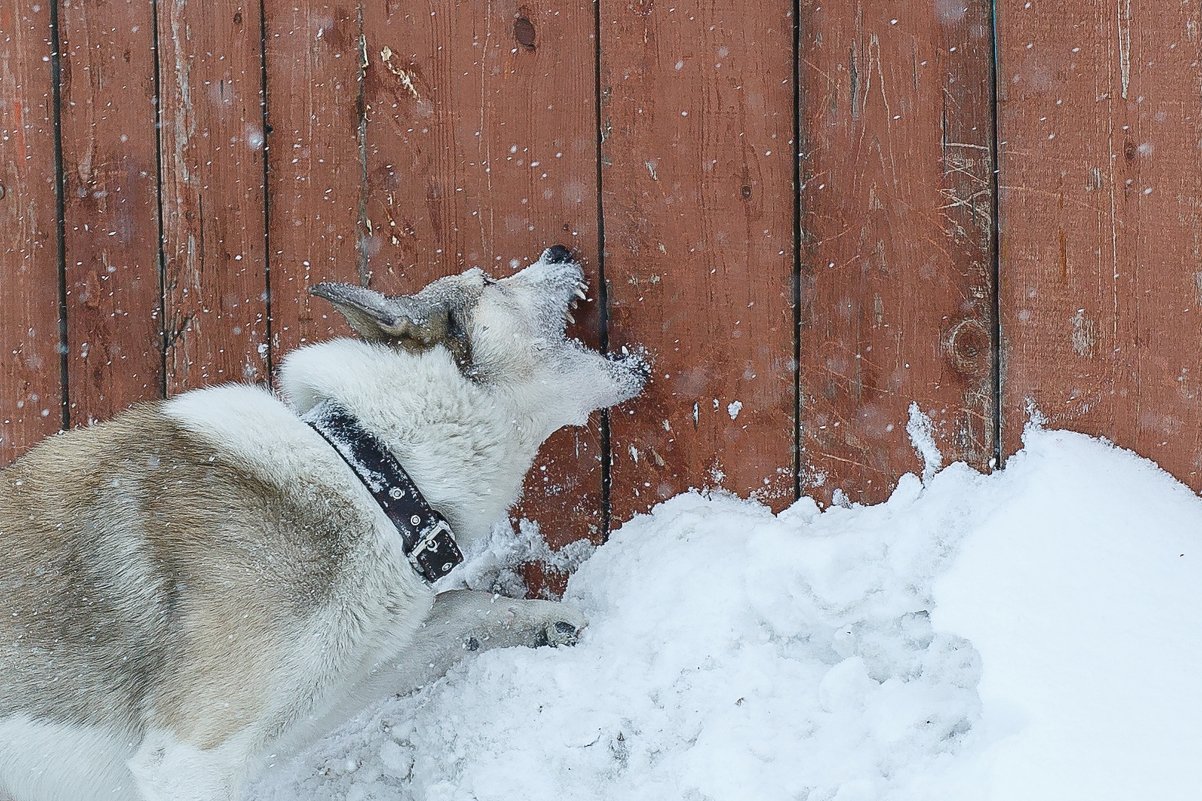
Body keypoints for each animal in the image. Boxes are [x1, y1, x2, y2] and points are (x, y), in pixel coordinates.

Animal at [0, 246, 649, 793]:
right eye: (488, 282)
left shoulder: (309, 701)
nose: (560, 250)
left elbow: (462, 609)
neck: (373, 472)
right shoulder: (193, 755)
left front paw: (554, 623)